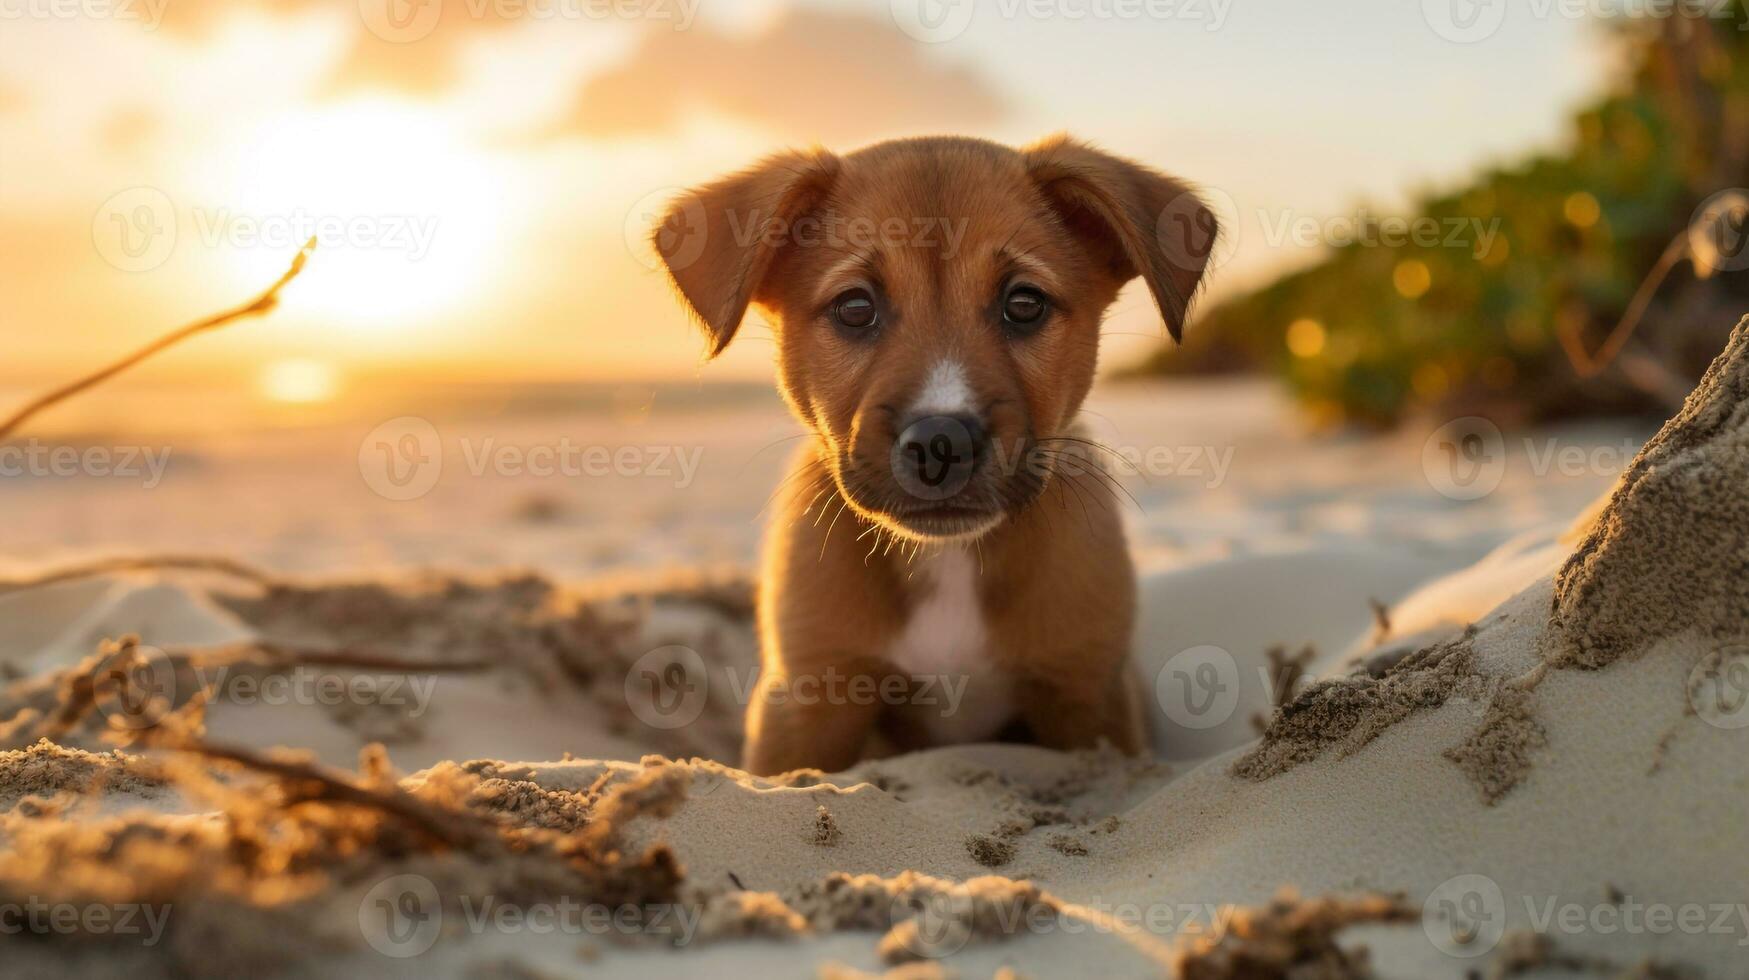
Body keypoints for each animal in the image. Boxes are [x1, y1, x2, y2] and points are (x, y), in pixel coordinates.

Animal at [654, 135, 1217, 773]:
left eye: (1025, 304)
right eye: (855, 308)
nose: (942, 442)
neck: (947, 558)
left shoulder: (1086, 690)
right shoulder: (808, 700)